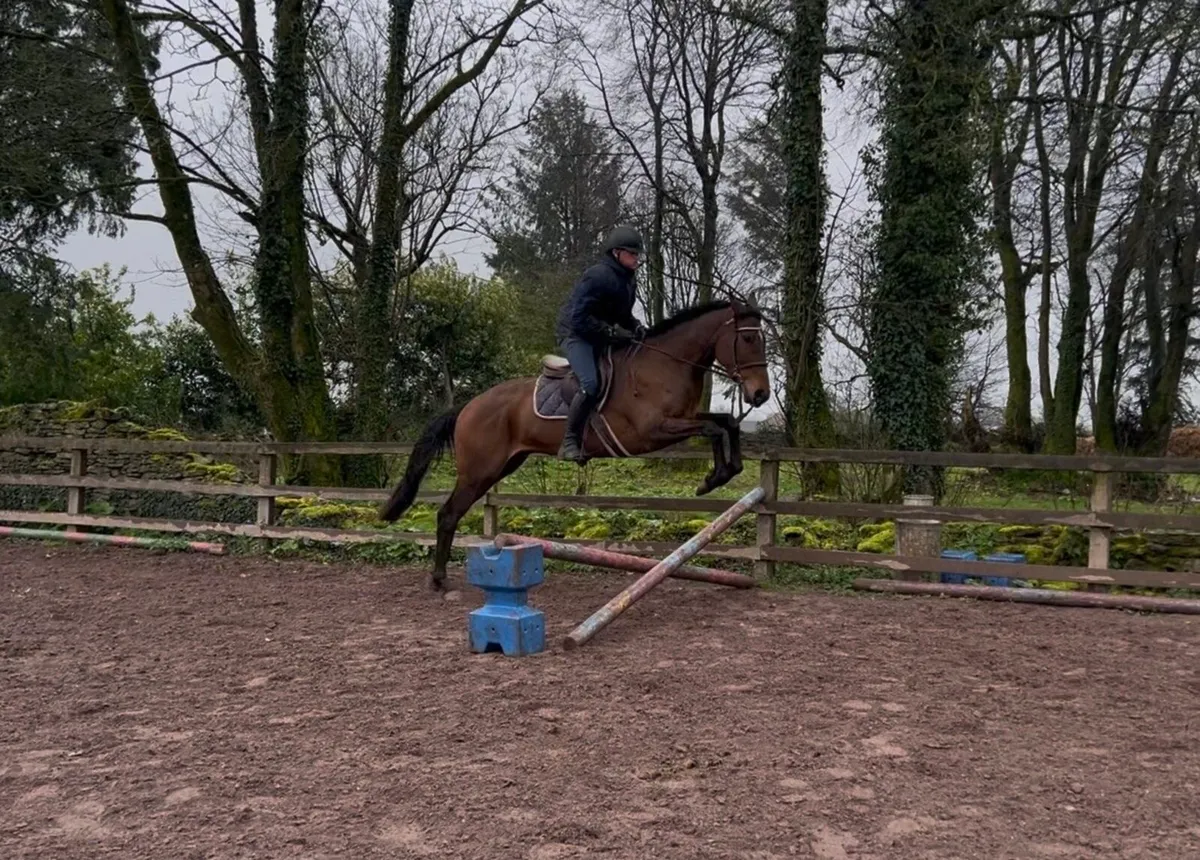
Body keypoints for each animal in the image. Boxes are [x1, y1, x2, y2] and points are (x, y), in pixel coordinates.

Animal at [379, 298, 771, 591]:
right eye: (749, 340)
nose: (761, 395)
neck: (665, 364)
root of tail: (468, 406)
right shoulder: (653, 430)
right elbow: (713, 428)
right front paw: (713, 478)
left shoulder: (684, 419)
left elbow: (725, 423)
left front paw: (724, 472)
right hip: (479, 471)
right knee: (447, 514)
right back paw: (438, 580)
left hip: (503, 465)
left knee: (452, 513)